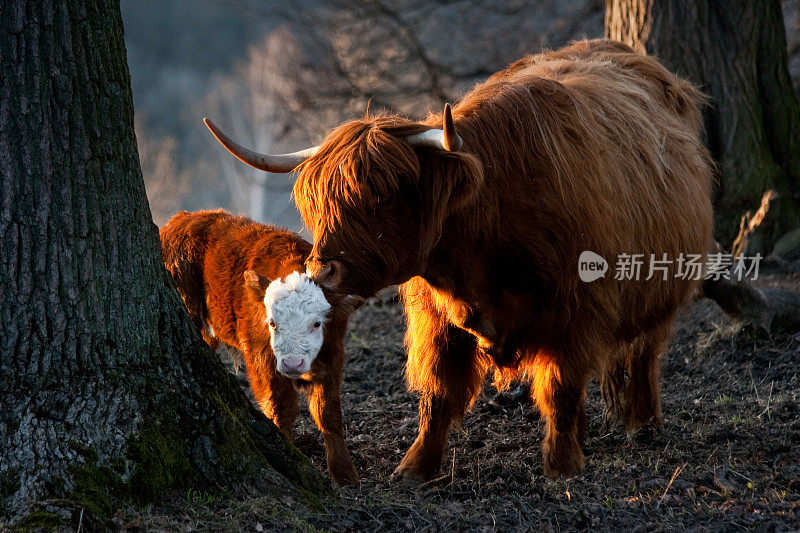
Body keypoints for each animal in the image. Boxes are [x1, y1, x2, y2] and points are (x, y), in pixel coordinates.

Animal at [159, 210, 360, 484]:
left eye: (317, 323)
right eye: (272, 323)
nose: (292, 363)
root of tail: (184, 218)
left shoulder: (333, 355)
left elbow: (327, 412)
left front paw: (344, 474)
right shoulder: (261, 356)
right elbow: (281, 408)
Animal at [205, 41, 712, 480]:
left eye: (381, 197)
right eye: (316, 204)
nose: (320, 270)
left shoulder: (577, 309)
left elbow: (561, 387)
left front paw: (562, 465)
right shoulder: (438, 317)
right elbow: (439, 392)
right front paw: (416, 468)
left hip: (659, 286)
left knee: (645, 351)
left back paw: (643, 424)